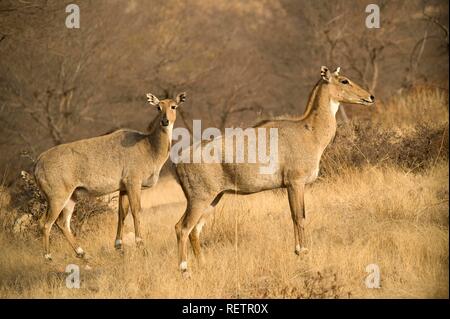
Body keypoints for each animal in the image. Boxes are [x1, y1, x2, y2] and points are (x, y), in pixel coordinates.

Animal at [31, 92, 185, 260]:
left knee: (62, 223)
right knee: (46, 223)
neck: (149, 146)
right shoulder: (133, 183)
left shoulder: (123, 188)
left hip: (71, 196)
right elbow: (136, 211)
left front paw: (118, 245)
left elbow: (122, 212)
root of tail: (38, 162)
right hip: (58, 197)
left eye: (173, 106)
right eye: (158, 107)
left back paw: (83, 254)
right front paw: (141, 246)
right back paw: (48, 257)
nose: (165, 121)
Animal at [174, 66, 374, 276]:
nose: (370, 97)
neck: (309, 131)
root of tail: (178, 162)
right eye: (344, 80)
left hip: (214, 198)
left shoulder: (292, 185)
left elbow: (297, 215)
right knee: (182, 227)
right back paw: (185, 270)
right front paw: (302, 251)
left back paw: (204, 266)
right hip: (199, 198)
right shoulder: (295, 183)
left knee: (195, 230)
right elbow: (299, 216)